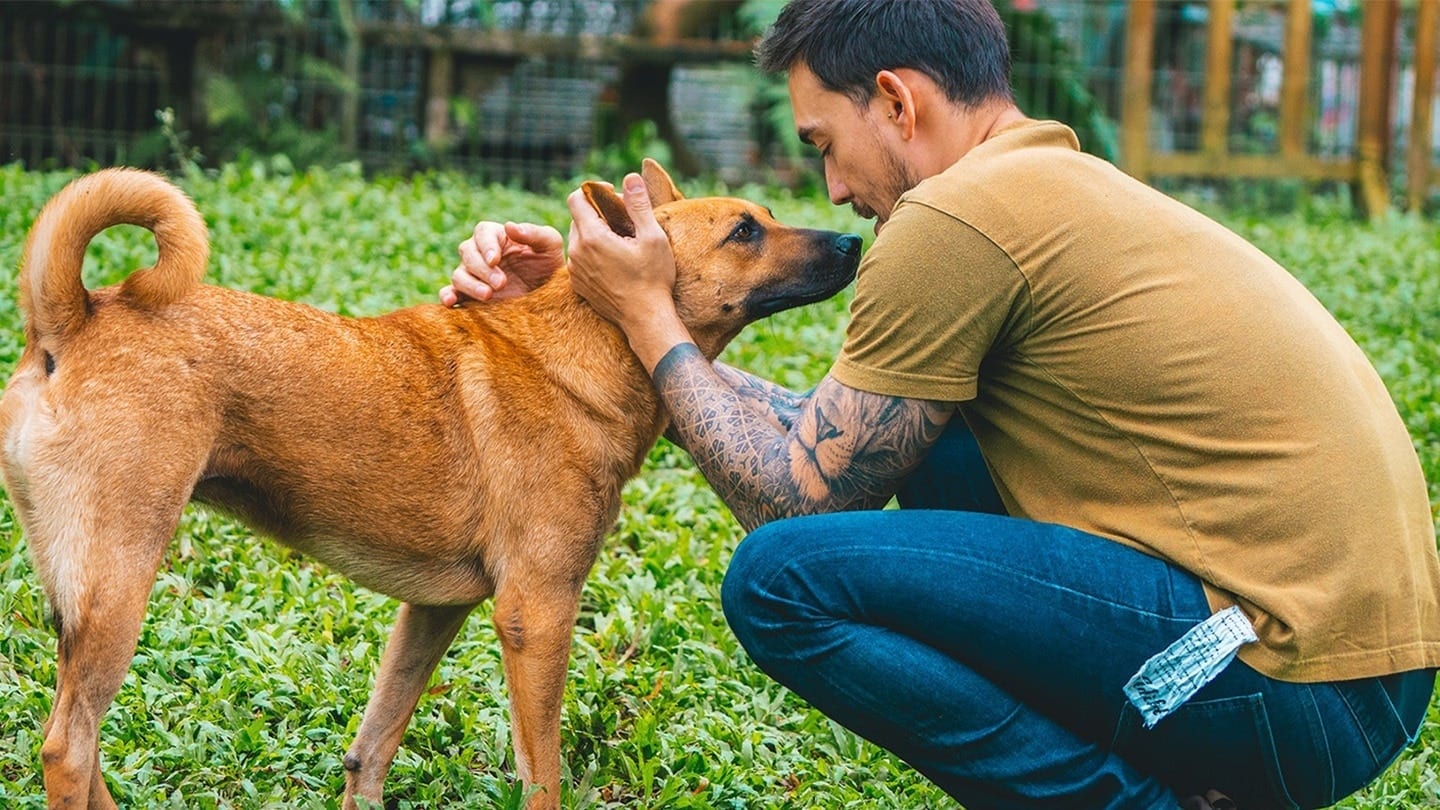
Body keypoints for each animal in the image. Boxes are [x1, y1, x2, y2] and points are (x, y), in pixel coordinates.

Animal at [0, 160, 852, 801]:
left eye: (764, 216)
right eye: (745, 231)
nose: (851, 239)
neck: (591, 346)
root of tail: (75, 313)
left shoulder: (434, 612)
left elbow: (373, 746)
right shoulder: (536, 615)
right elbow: (542, 776)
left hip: (81, 601)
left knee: (82, 742)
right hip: (120, 582)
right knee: (69, 748)